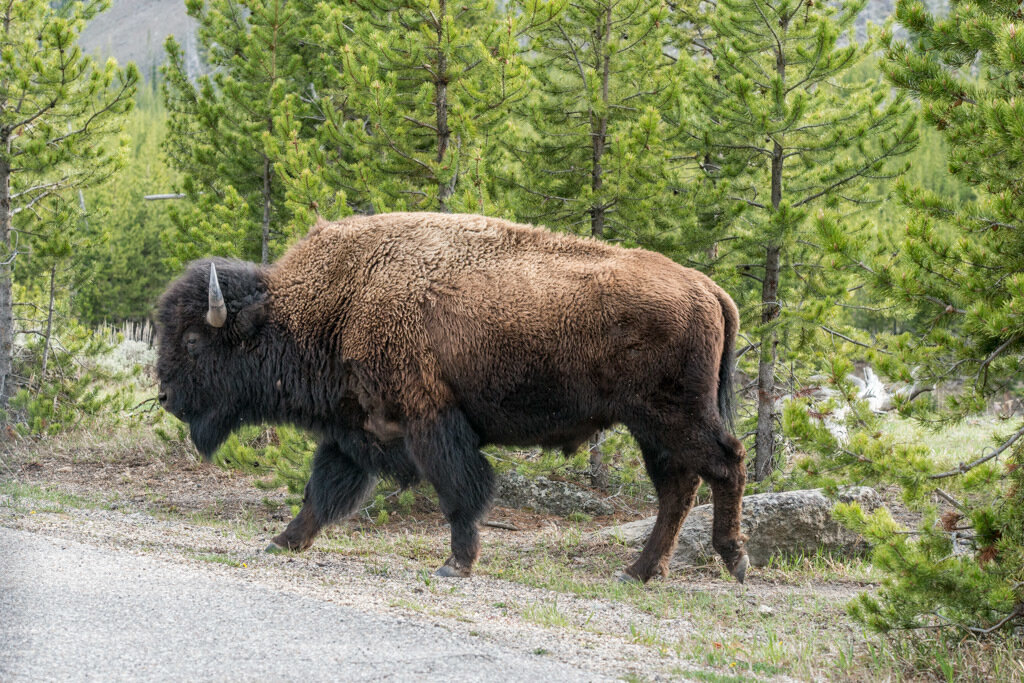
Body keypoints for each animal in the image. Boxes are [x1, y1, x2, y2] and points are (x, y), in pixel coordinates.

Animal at [161, 211, 753, 581]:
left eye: (192, 339)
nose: (165, 395)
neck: (336, 303)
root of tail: (707, 288)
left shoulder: (429, 420)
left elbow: (459, 491)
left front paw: (456, 564)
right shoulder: (357, 430)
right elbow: (321, 492)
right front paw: (284, 541)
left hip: (672, 417)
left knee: (725, 464)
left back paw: (733, 560)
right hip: (651, 428)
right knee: (678, 488)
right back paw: (639, 572)